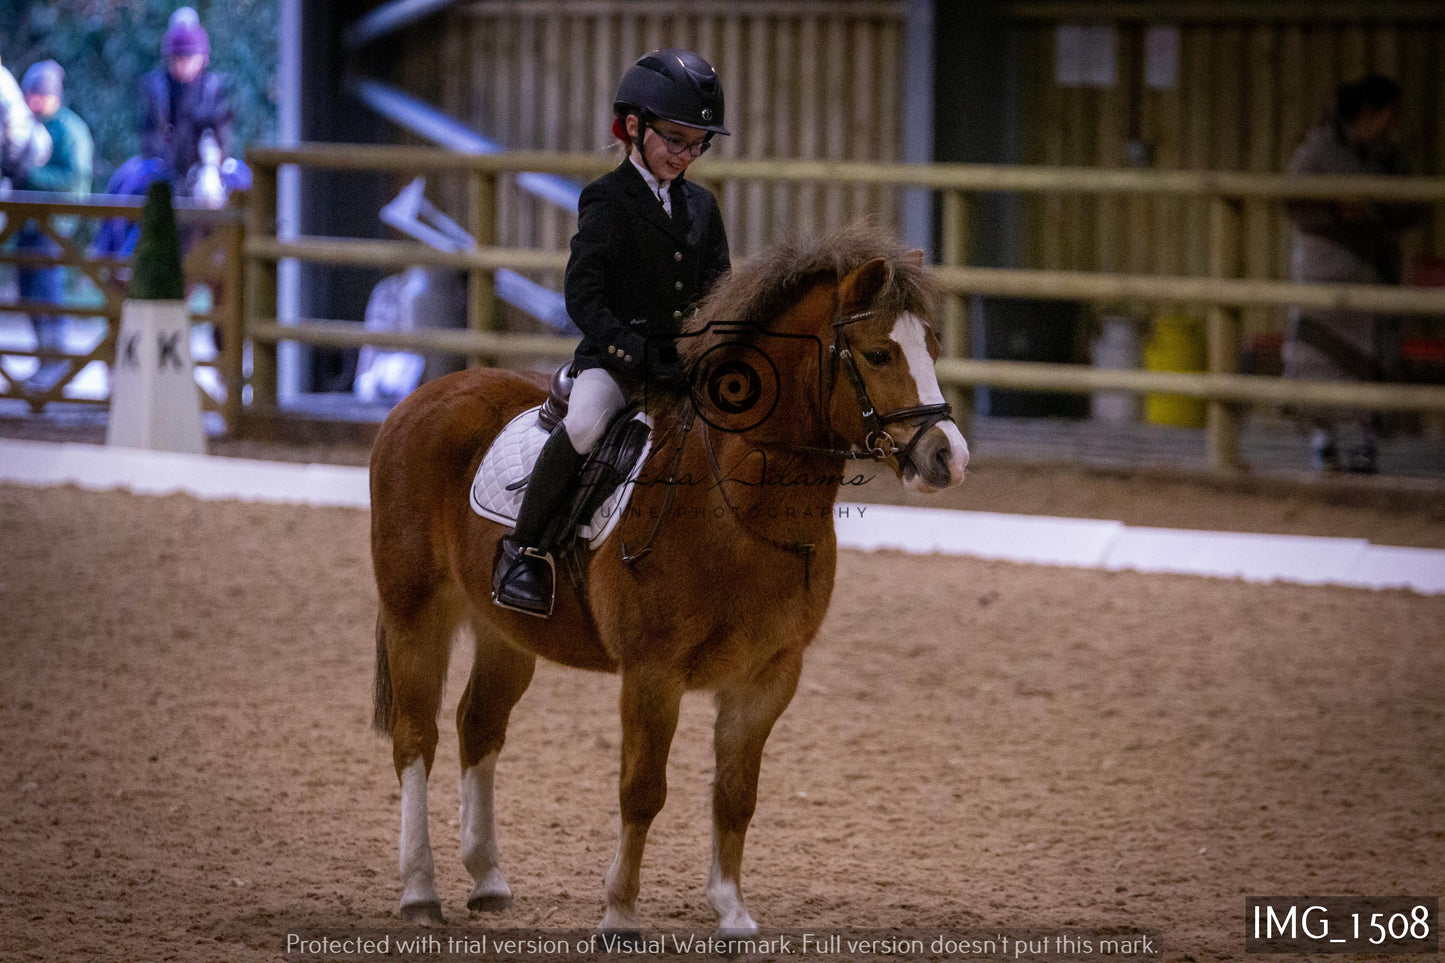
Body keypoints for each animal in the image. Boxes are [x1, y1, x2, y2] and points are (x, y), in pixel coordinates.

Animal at [367, 225, 965, 931]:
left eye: (932, 347)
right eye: (877, 354)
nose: (947, 457)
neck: (736, 510)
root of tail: (422, 399)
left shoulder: (769, 675)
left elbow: (735, 794)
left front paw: (731, 912)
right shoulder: (652, 673)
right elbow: (642, 790)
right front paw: (620, 914)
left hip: (506, 633)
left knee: (478, 726)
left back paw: (487, 880)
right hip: (415, 613)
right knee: (416, 737)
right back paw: (419, 892)